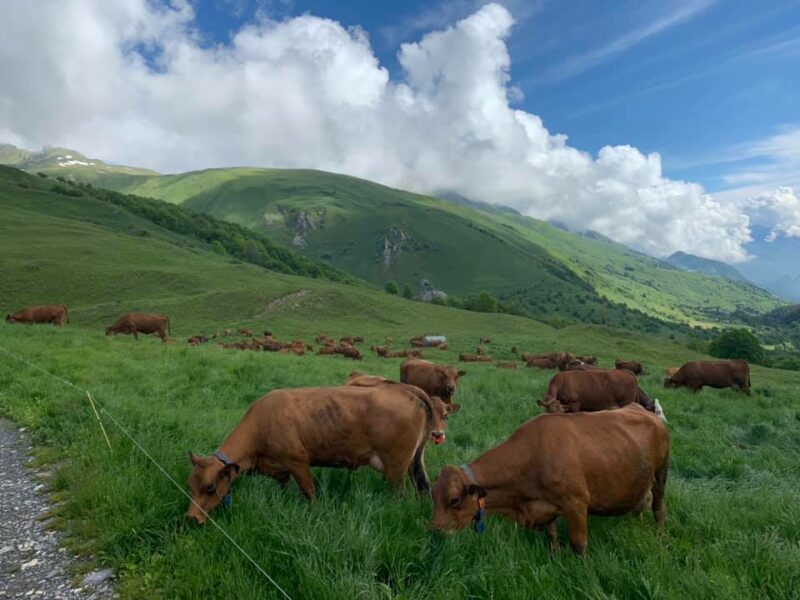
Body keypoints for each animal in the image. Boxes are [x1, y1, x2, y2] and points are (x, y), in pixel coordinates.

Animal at [185, 386, 454, 524]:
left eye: (210, 488)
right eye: (189, 486)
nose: (190, 518)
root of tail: (405, 389)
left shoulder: (298, 462)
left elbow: (309, 492)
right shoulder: (279, 468)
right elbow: (283, 484)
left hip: (396, 468)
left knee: (401, 495)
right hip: (414, 462)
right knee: (423, 487)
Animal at [432, 406, 668, 556]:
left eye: (454, 500)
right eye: (433, 496)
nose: (435, 531)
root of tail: (648, 412)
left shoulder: (576, 502)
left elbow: (579, 544)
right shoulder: (544, 506)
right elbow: (551, 534)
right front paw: (554, 557)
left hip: (661, 474)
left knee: (658, 508)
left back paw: (660, 534)